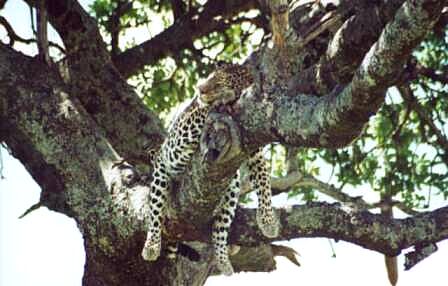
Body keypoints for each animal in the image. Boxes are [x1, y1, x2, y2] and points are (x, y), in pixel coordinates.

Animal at [142, 62, 278, 274]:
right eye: (210, 77)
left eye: (220, 84)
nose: (200, 88)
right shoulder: (183, 130)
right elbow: (204, 110)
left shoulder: (253, 144)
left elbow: (263, 181)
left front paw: (268, 221)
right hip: (162, 168)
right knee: (156, 209)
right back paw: (151, 246)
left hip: (231, 187)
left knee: (220, 228)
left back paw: (223, 260)